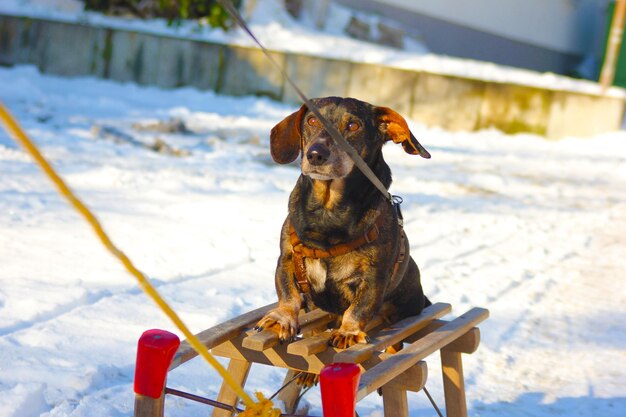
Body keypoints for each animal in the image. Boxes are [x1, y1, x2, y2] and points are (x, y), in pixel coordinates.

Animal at [254, 96, 428, 348]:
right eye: (312, 120)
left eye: (353, 126)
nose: (315, 155)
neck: (328, 212)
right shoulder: (286, 259)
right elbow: (288, 294)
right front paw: (282, 318)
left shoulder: (374, 277)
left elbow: (359, 308)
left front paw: (348, 331)